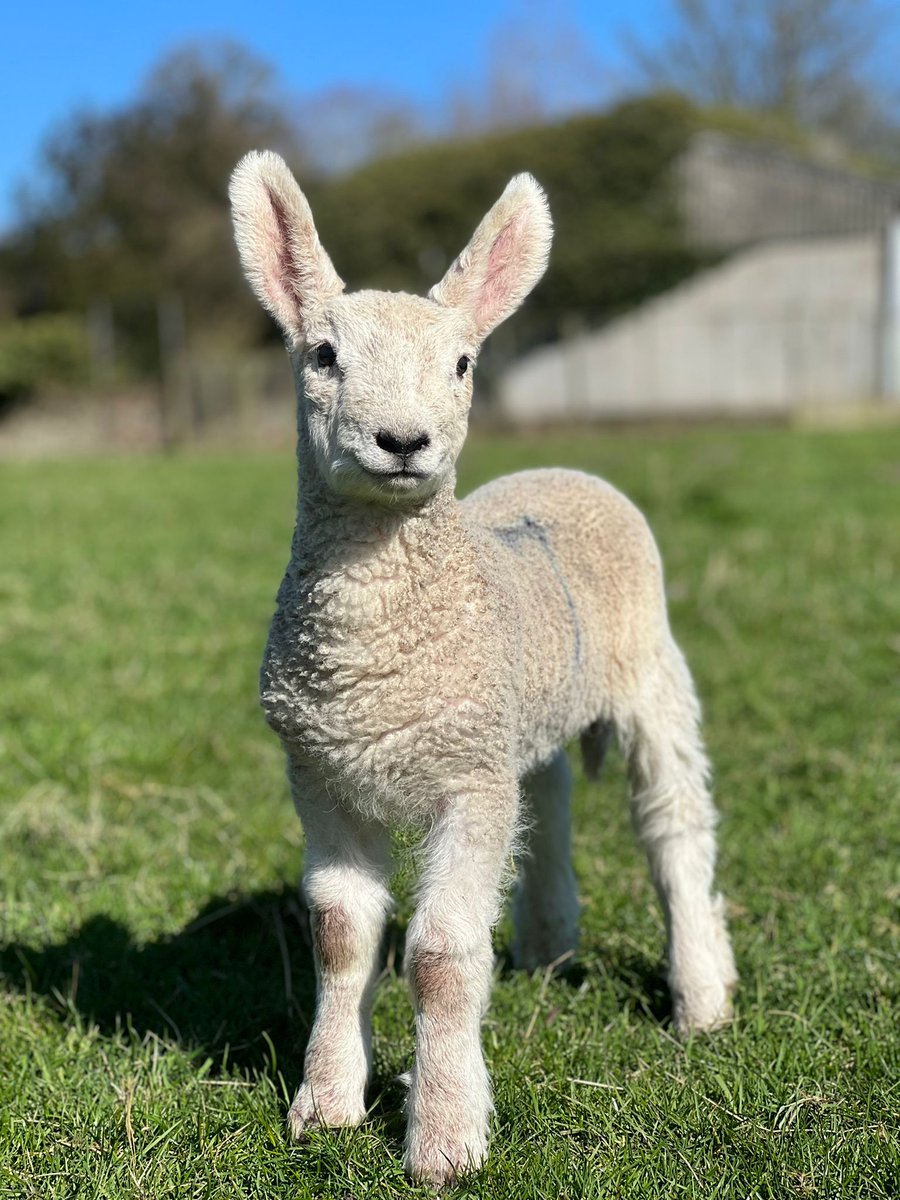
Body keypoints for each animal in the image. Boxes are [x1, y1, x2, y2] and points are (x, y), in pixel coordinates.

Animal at [228, 151, 737, 1186]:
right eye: (322, 356)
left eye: (463, 364)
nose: (402, 441)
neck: (374, 659)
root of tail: (567, 472)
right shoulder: (323, 777)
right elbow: (342, 937)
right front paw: (326, 1105)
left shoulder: (465, 781)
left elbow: (439, 954)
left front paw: (445, 1139)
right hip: (519, 716)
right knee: (546, 801)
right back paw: (545, 944)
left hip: (651, 673)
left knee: (673, 827)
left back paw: (701, 999)